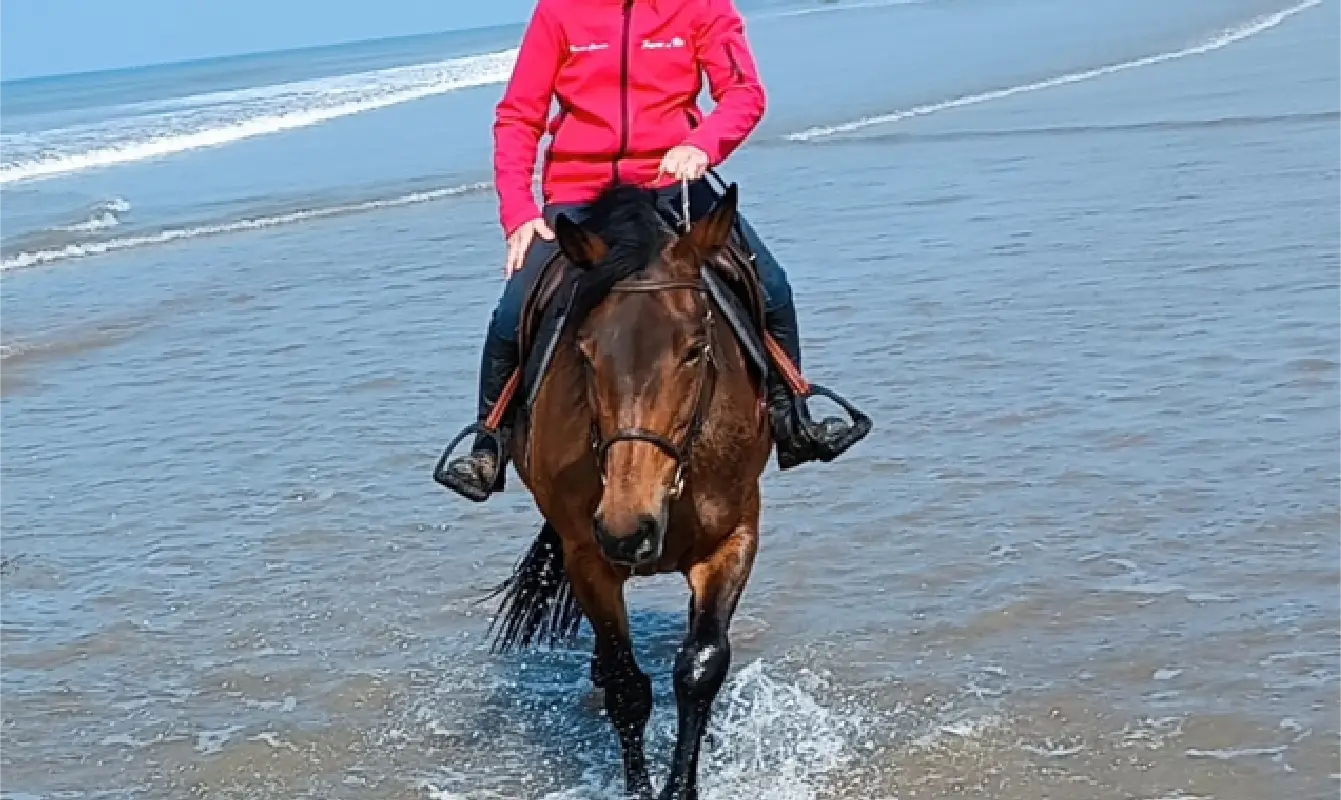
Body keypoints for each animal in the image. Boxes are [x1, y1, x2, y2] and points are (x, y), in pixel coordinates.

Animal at [483, 182, 773, 800]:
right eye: (586, 352)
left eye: (695, 348)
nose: (627, 527)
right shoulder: (588, 557)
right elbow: (626, 687)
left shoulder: (733, 539)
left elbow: (700, 666)